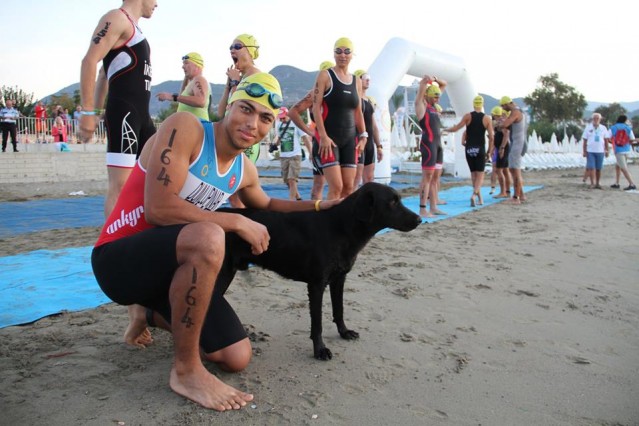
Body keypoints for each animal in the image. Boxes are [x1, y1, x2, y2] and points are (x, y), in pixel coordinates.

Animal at [218, 182, 422, 360]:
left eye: (399, 199)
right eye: (392, 202)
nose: (420, 219)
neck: (341, 228)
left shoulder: (339, 279)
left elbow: (339, 310)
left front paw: (344, 332)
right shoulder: (316, 285)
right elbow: (317, 324)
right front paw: (320, 350)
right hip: (223, 275)